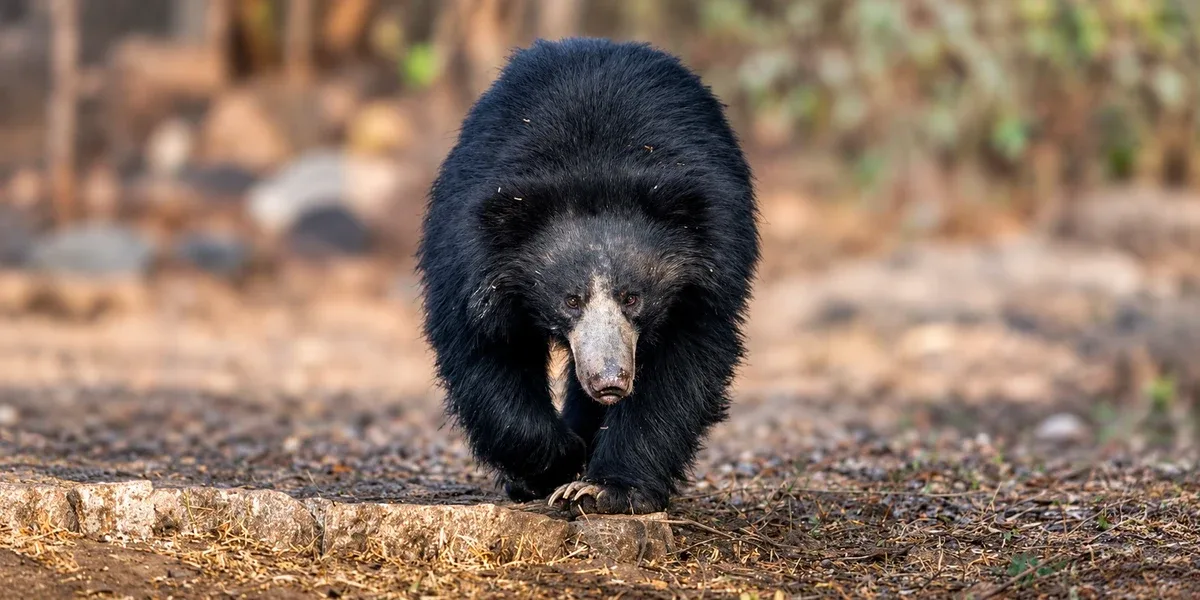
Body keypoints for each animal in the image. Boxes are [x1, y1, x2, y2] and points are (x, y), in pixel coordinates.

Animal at [416, 37, 759, 515]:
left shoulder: (709, 272)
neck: (593, 171)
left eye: (632, 297)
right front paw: (557, 462)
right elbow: (484, 351)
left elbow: (681, 366)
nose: (610, 381)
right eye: (571, 300)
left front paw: (603, 489)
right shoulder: (469, 258)